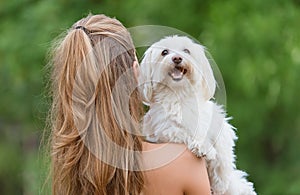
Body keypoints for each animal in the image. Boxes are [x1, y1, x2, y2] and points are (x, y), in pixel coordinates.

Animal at [138, 35, 255, 195]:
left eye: (186, 50)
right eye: (164, 52)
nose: (177, 58)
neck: (180, 96)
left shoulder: (218, 121)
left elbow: (223, 151)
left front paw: (221, 181)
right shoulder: (164, 129)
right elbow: (184, 132)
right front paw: (203, 147)